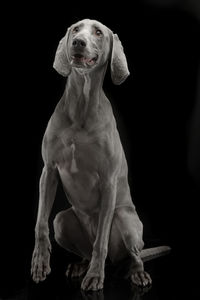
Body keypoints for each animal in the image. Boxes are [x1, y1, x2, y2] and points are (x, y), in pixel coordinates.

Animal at [30, 18, 170, 290]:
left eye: (98, 32)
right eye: (75, 29)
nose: (77, 42)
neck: (81, 106)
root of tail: (117, 260)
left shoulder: (108, 182)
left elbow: (101, 241)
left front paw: (95, 276)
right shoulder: (49, 170)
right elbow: (40, 222)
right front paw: (40, 262)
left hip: (125, 219)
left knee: (132, 254)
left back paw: (136, 273)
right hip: (62, 221)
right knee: (81, 245)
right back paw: (80, 265)